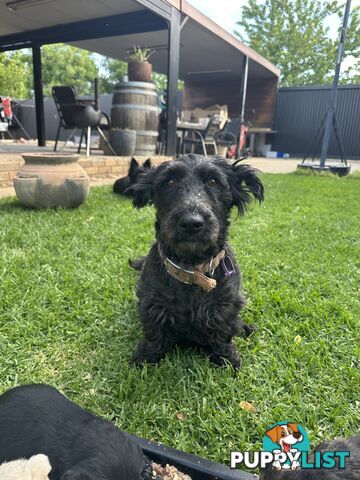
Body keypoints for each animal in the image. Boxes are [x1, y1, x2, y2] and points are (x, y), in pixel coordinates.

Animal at [132, 154, 264, 368]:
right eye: (170, 181)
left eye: (213, 181)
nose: (191, 223)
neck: (193, 269)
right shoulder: (153, 303)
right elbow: (154, 334)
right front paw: (145, 358)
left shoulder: (225, 305)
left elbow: (223, 333)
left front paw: (227, 359)